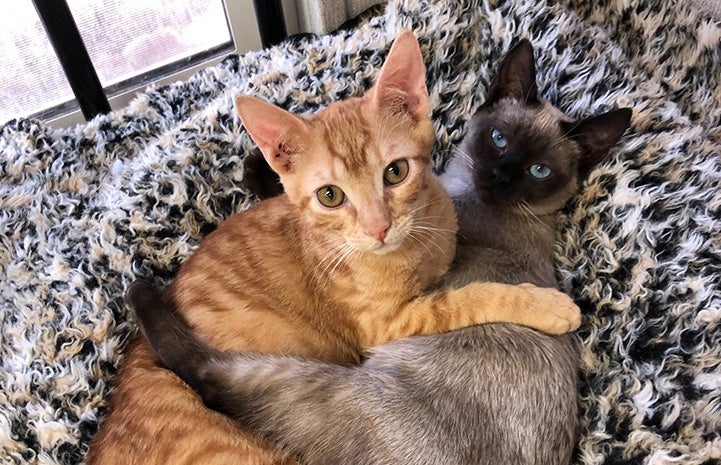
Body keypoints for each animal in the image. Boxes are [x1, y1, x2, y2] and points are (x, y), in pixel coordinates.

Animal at [87, 31, 580, 464]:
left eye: (396, 171)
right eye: (330, 196)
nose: (379, 228)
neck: (417, 244)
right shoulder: (388, 324)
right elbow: (469, 297)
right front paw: (547, 306)